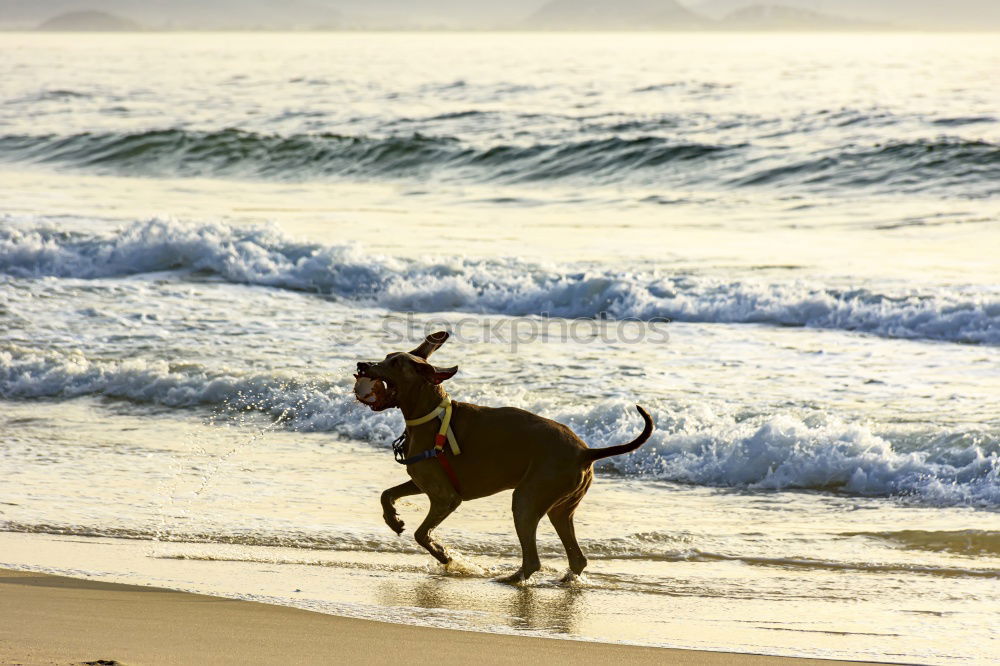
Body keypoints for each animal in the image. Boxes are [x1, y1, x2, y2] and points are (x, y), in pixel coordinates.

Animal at [356, 332, 652, 580]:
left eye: (395, 363)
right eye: (386, 357)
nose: (362, 364)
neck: (431, 413)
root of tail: (584, 451)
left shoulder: (446, 497)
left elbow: (421, 533)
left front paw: (443, 555)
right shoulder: (423, 481)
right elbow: (386, 494)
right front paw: (393, 519)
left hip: (527, 499)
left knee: (533, 559)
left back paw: (511, 579)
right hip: (560, 507)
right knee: (576, 557)